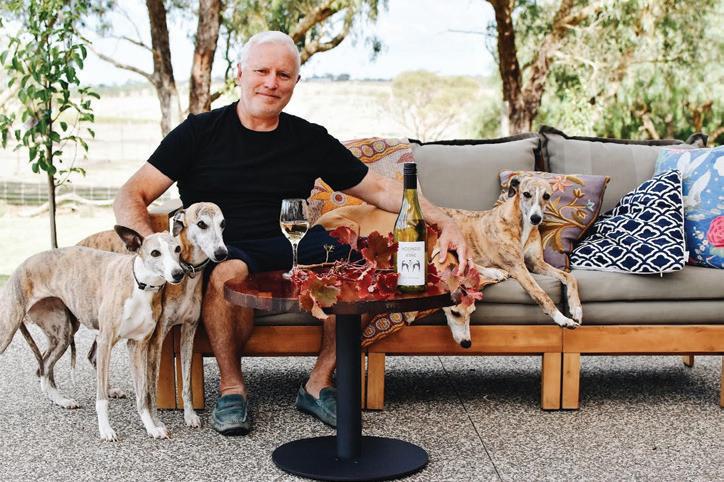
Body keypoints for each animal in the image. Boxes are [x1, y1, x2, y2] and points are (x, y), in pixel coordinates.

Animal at [0, 227, 184, 441]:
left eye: (177, 249)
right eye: (155, 253)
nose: (178, 274)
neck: (140, 284)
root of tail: (20, 266)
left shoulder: (137, 345)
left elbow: (143, 395)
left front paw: (151, 427)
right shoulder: (105, 341)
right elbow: (101, 398)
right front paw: (106, 430)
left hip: (63, 333)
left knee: (44, 366)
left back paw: (61, 400)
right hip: (9, 330)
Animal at [22, 202, 228, 434]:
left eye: (222, 224)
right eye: (202, 224)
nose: (222, 253)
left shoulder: (189, 331)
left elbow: (186, 380)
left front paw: (190, 415)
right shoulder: (156, 338)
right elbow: (150, 387)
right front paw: (156, 422)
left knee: (91, 357)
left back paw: (106, 389)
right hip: (68, 328)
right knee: (47, 364)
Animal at [315, 174, 582, 345]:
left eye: (546, 196)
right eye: (526, 194)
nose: (537, 218)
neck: (520, 224)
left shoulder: (536, 263)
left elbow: (569, 277)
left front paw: (576, 309)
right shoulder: (519, 267)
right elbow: (542, 294)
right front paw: (562, 318)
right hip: (354, 229)